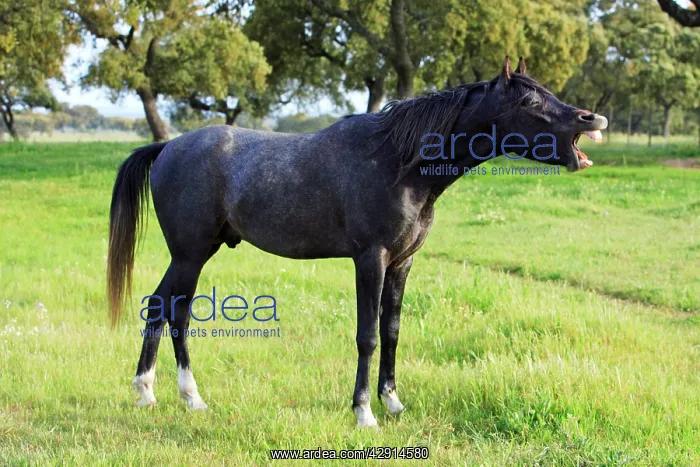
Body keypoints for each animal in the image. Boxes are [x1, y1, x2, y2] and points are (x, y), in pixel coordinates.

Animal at [107, 56, 607, 427]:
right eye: (529, 98)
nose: (592, 117)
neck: (398, 162)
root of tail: (168, 147)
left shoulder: (402, 263)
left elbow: (392, 331)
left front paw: (393, 402)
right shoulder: (371, 259)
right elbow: (367, 335)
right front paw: (364, 411)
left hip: (191, 255)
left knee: (161, 308)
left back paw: (156, 394)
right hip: (190, 254)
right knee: (174, 313)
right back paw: (179, 396)